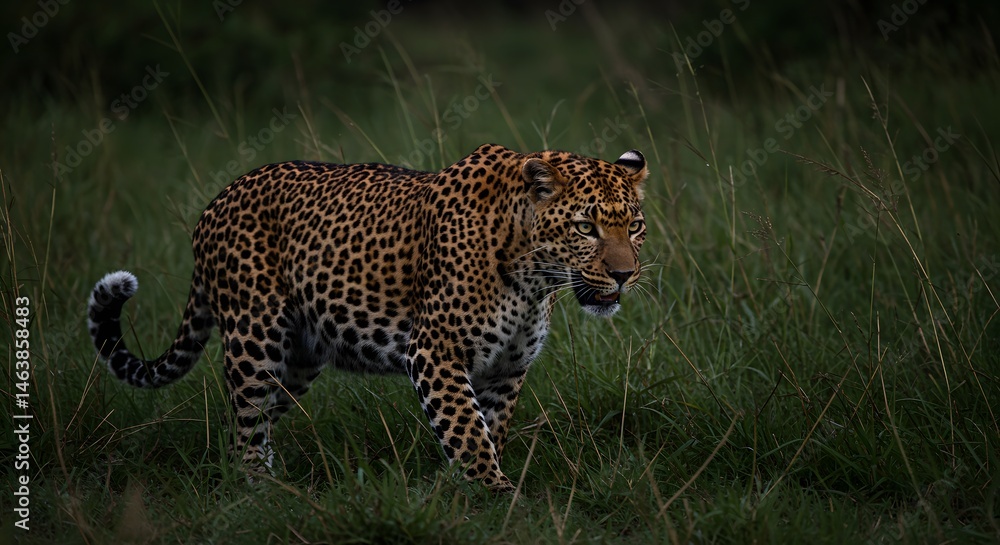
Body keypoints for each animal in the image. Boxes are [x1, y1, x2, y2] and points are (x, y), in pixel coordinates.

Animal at [87, 143, 648, 492]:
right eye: (585, 227)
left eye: (636, 226)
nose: (624, 276)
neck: (534, 279)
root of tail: (217, 200)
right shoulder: (435, 354)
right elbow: (467, 432)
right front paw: (498, 496)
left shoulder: (506, 370)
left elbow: (487, 429)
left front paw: (465, 495)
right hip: (255, 339)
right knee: (245, 427)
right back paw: (257, 493)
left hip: (297, 358)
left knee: (257, 423)